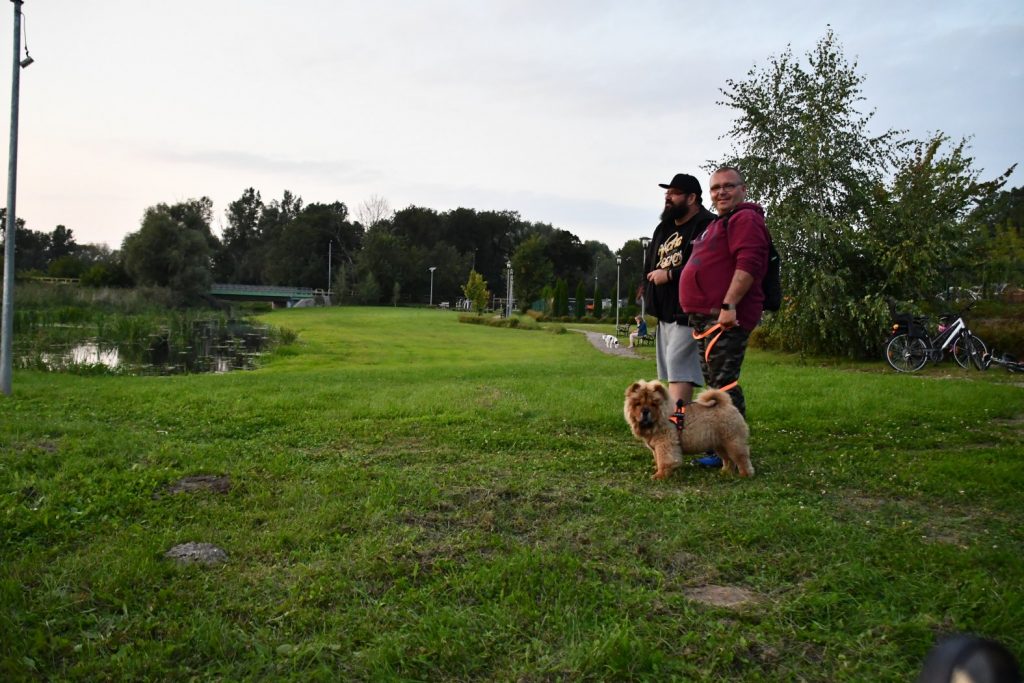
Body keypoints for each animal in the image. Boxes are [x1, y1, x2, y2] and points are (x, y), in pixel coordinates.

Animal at [618, 378, 757, 481]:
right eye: (638, 403)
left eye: (654, 403)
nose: (645, 411)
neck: (662, 418)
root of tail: (728, 405)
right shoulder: (656, 448)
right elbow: (658, 459)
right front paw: (657, 469)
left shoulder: (665, 445)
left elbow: (664, 461)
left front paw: (659, 476)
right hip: (720, 444)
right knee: (728, 459)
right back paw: (725, 472)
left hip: (732, 441)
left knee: (741, 458)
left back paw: (745, 475)